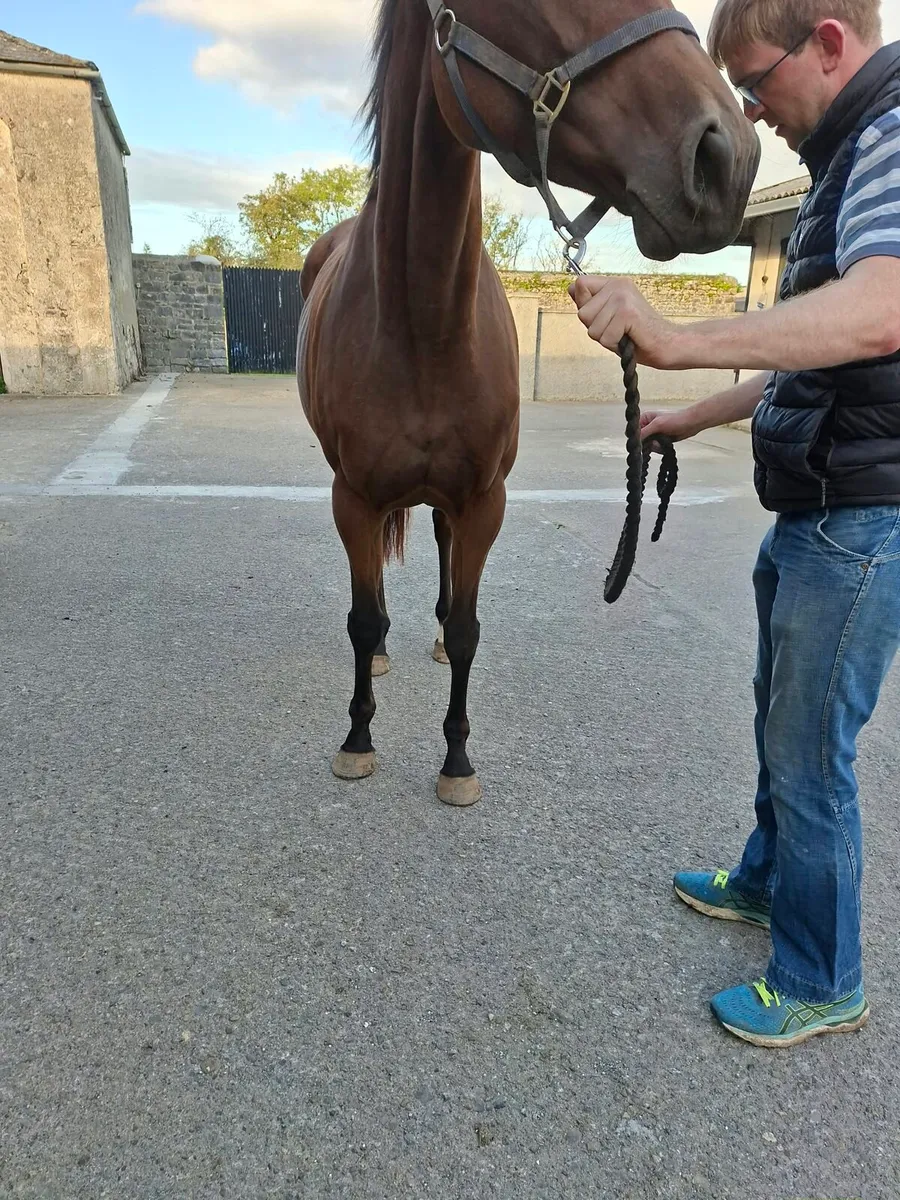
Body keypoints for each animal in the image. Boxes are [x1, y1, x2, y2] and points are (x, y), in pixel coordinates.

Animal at [298, 0, 759, 806]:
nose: (726, 155)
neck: (422, 325)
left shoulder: (484, 500)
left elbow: (470, 628)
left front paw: (457, 758)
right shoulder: (351, 496)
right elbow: (360, 617)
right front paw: (358, 737)